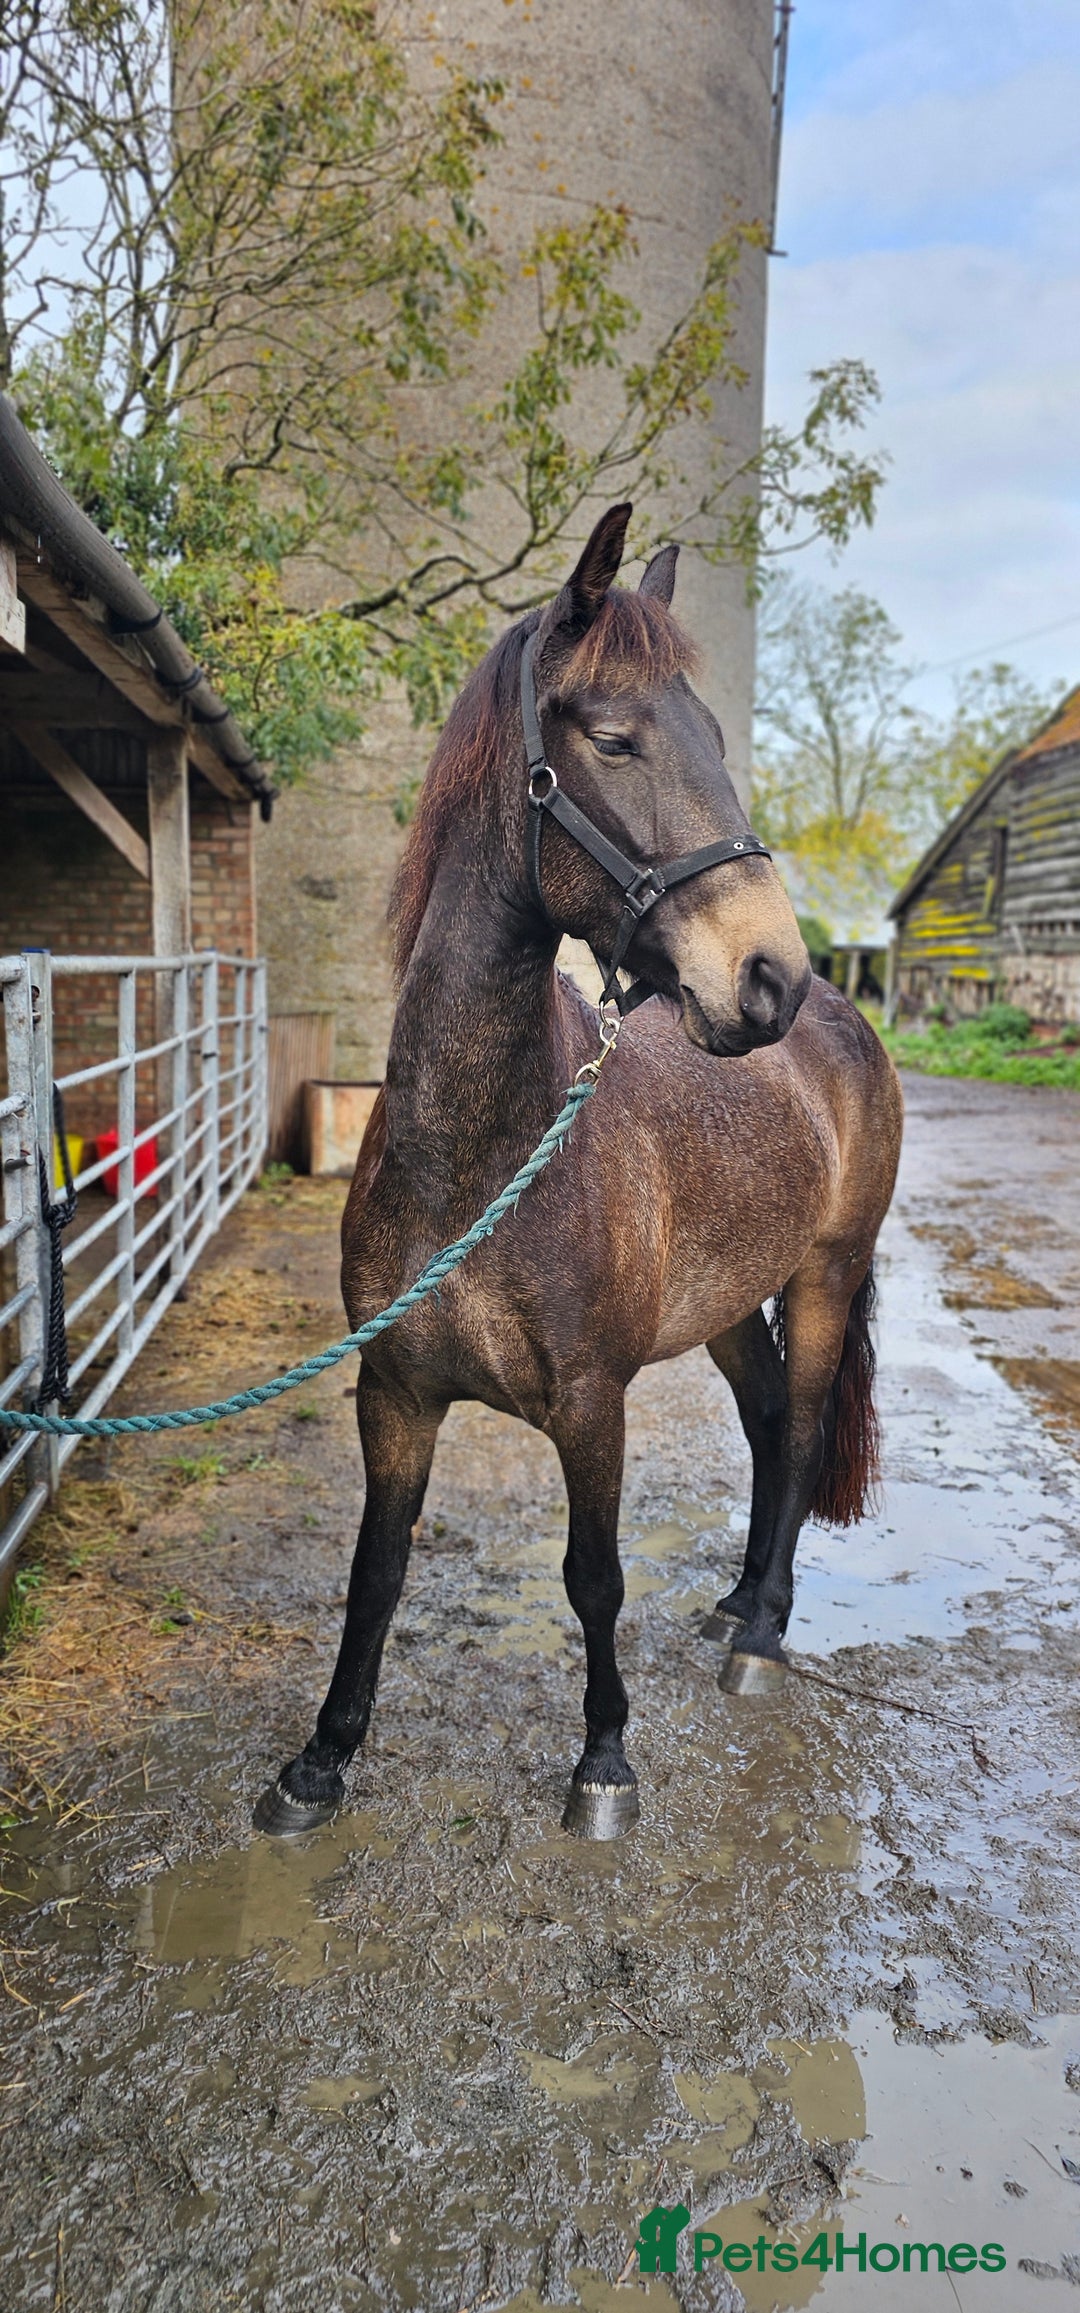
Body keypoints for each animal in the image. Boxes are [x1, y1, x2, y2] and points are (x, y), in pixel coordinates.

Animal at [254, 503, 903, 1841]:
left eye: (717, 739)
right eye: (613, 737)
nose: (770, 975)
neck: (480, 1162)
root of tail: (843, 1025)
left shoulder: (593, 1405)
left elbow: (592, 1577)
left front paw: (605, 1760)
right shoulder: (394, 1395)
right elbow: (375, 1572)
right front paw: (322, 1761)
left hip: (823, 1279)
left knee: (805, 1435)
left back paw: (761, 1636)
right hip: (730, 1309)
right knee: (772, 1424)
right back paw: (738, 1601)